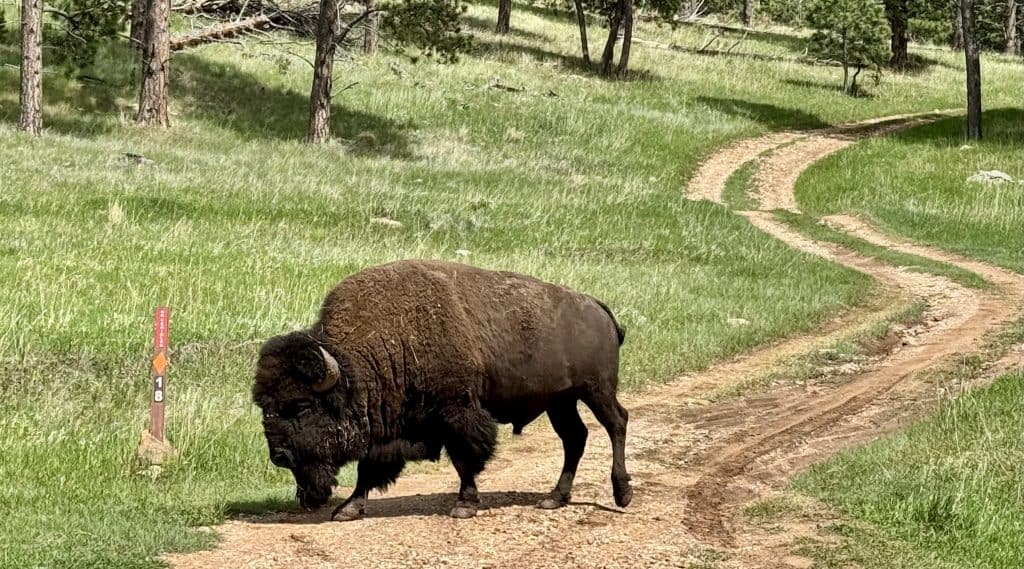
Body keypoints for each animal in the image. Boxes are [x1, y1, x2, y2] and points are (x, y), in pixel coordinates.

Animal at [252, 259, 632, 520]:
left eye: (301, 406)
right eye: (264, 406)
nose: (279, 455)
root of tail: (597, 307)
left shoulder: (458, 412)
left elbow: (465, 459)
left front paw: (465, 505)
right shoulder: (387, 429)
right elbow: (368, 469)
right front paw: (347, 509)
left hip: (596, 390)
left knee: (616, 423)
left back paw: (622, 493)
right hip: (560, 402)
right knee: (575, 438)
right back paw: (554, 498)